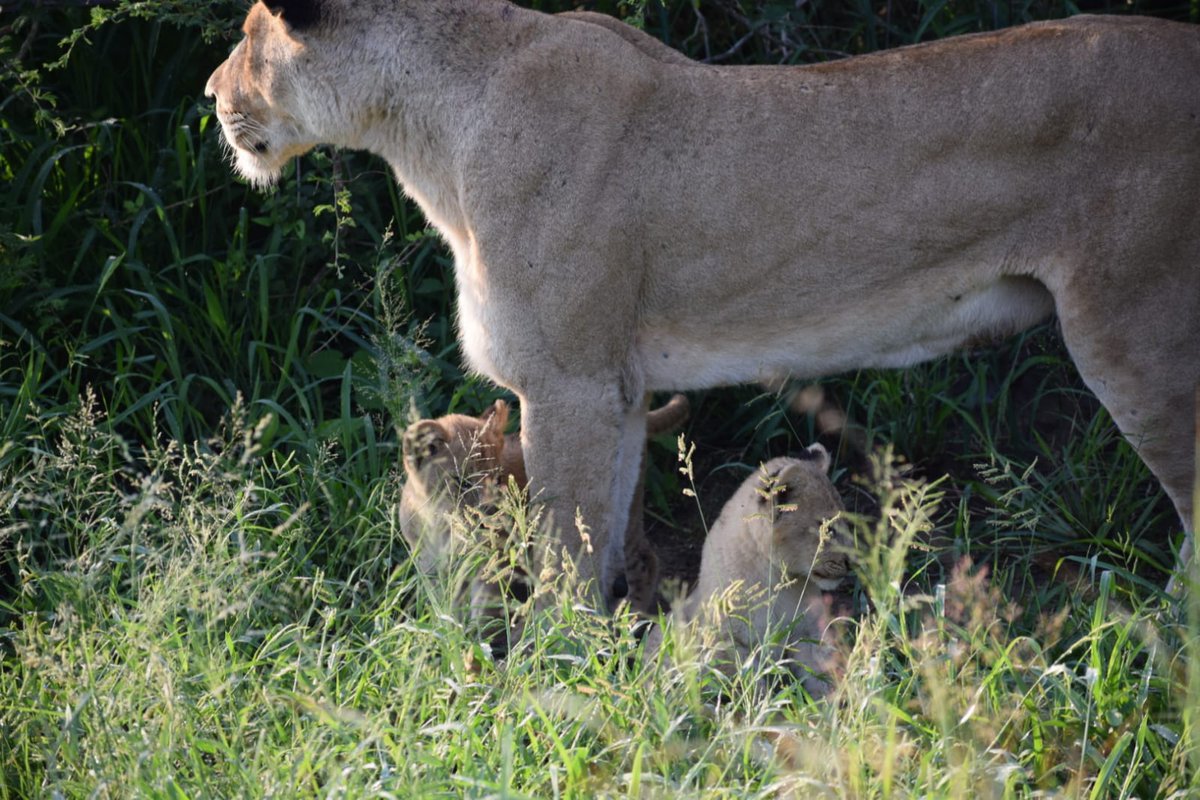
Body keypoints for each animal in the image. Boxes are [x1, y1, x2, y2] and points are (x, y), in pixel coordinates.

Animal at [206, 2, 1199, 605]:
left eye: (251, 35)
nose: (211, 94)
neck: (429, 128)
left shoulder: (565, 381)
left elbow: (563, 547)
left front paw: (546, 679)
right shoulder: (614, 387)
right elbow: (605, 534)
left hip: (1137, 333)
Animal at [644, 445, 850, 697]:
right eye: (826, 528)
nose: (852, 562)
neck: (779, 581)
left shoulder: (807, 633)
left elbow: (819, 673)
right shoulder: (725, 644)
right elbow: (750, 684)